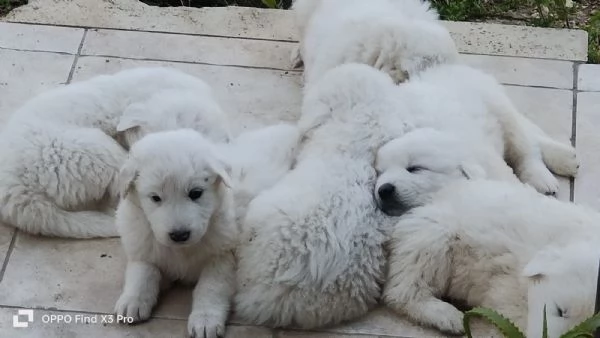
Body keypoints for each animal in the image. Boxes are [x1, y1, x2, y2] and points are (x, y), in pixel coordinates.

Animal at [372, 63, 580, 214]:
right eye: (379, 174)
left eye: (415, 168)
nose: (383, 190)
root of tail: (452, 66)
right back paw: (568, 160)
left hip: (501, 110)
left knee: (525, 149)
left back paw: (543, 176)